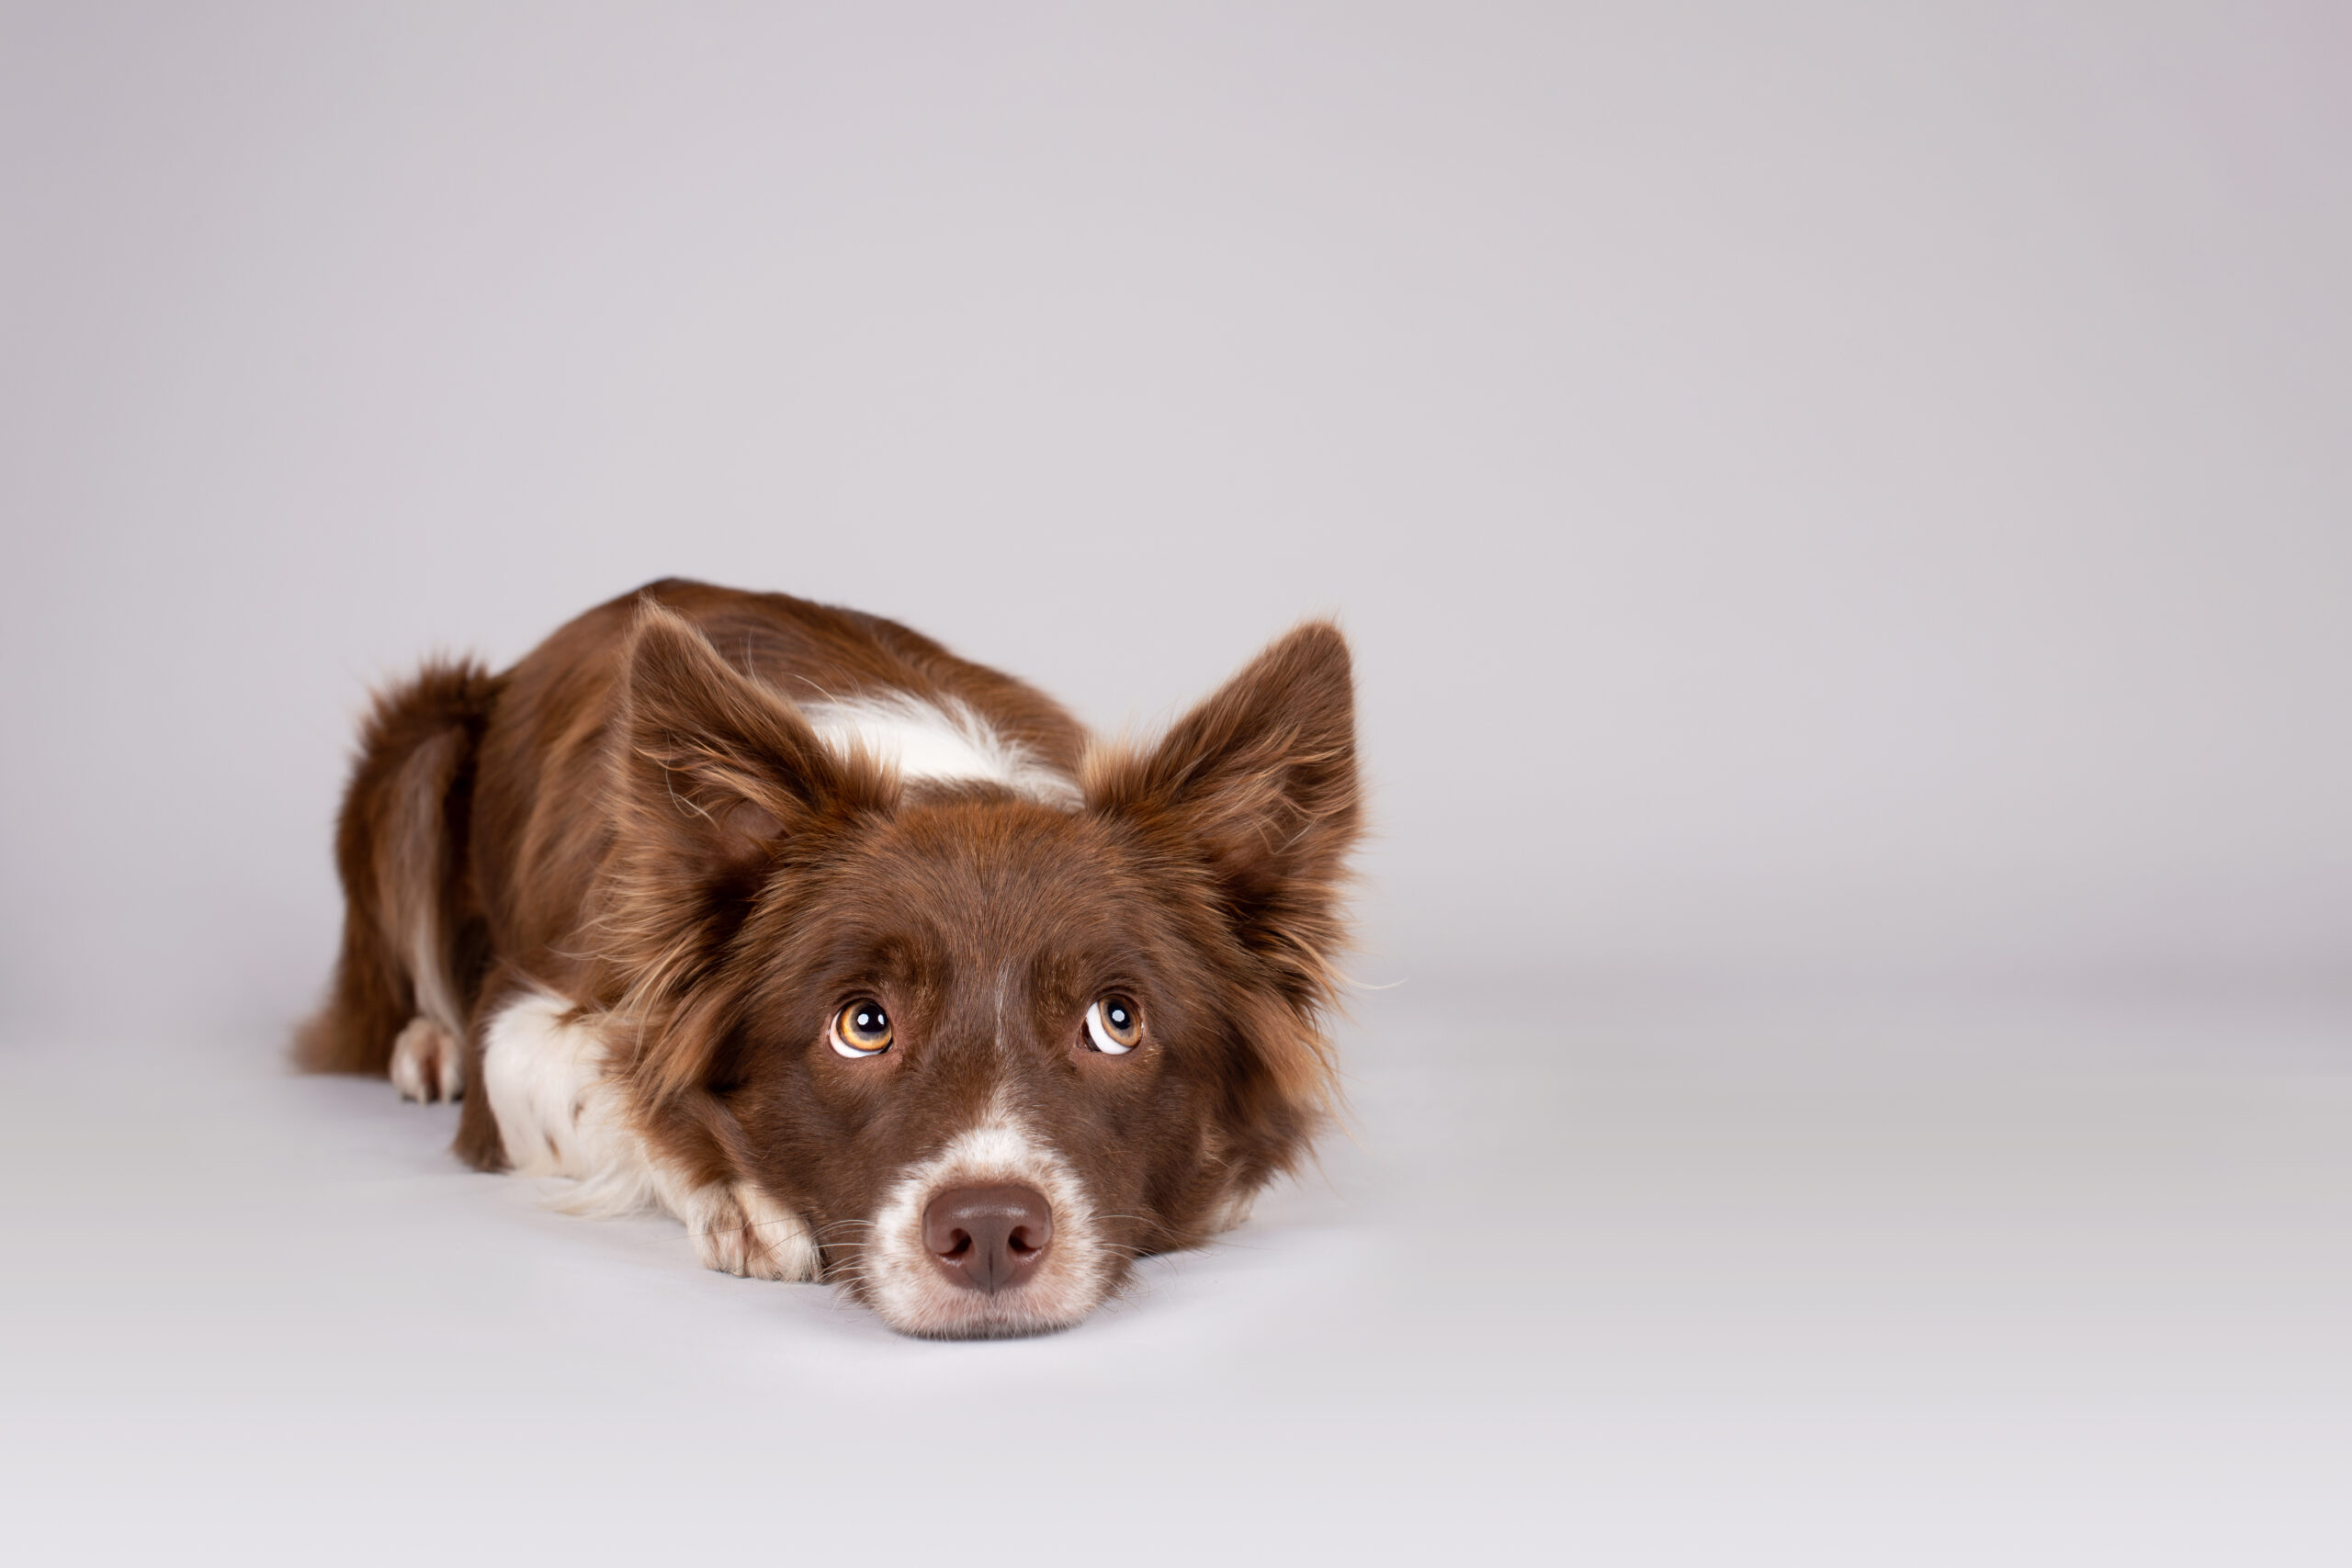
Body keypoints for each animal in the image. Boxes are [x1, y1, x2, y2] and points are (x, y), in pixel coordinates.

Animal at [299, 582, 1363, 1344]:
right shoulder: (526, 1023)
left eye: (1115, 1021)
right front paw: (739, 1192)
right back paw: (424, 1045)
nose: (987, 1232)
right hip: (420, 743)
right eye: (864, 1023)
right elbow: (615, 1086)